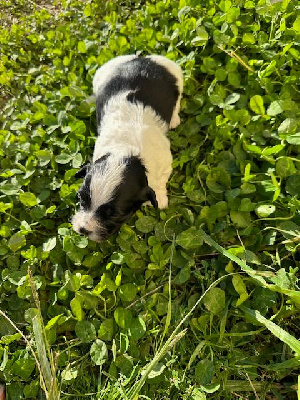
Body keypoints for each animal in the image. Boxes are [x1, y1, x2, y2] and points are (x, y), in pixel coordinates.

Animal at [72, 53, 183, 241]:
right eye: (81, 198)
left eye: (114, 215)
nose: (83, 230)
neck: (126, 151)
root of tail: (144, 59)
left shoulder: (164, 162)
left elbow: (159, 182)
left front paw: (160, 199)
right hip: (103, 71)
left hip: (176, 74)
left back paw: (174, 118)